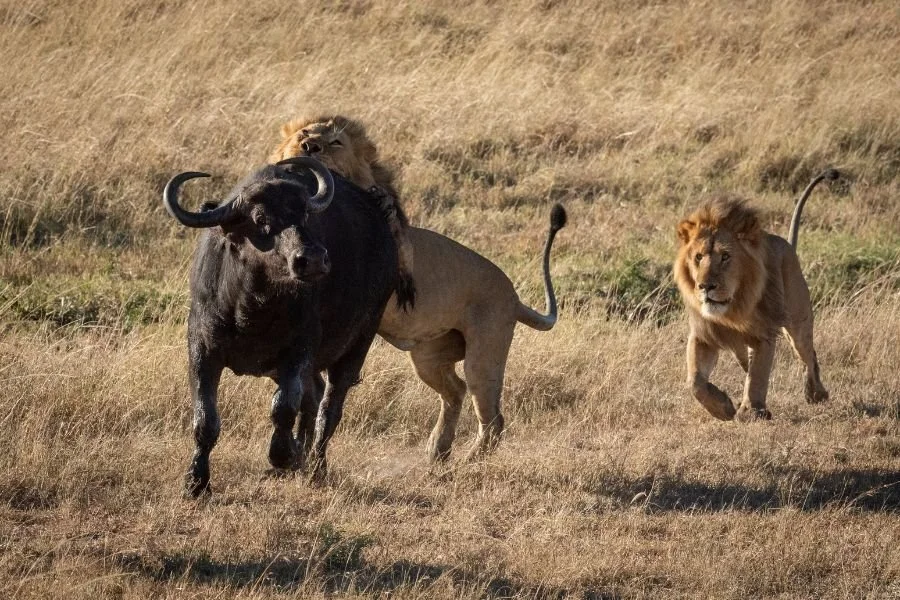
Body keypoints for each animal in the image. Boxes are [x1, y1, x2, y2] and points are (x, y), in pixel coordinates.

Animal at [271, 115, 567, 460]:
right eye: (303, 134)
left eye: (335, 143)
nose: (309, 147)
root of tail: (515, 297)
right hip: (429, 356)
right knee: (456, 391)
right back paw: (437, 449)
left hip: (484, 353)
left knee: (492, 416)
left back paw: (468, 462)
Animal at [673, 169, 838, 421]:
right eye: (698, 257)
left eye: (725, 257)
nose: (705, 286)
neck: (732, 309)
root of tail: (786, 244)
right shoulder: (703, 334)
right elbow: (695, 382)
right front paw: (723, 408)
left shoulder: (763, 332)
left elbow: (758, 376)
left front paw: (751, 411)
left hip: (798, 320)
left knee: (807, 355)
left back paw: (815, 393)